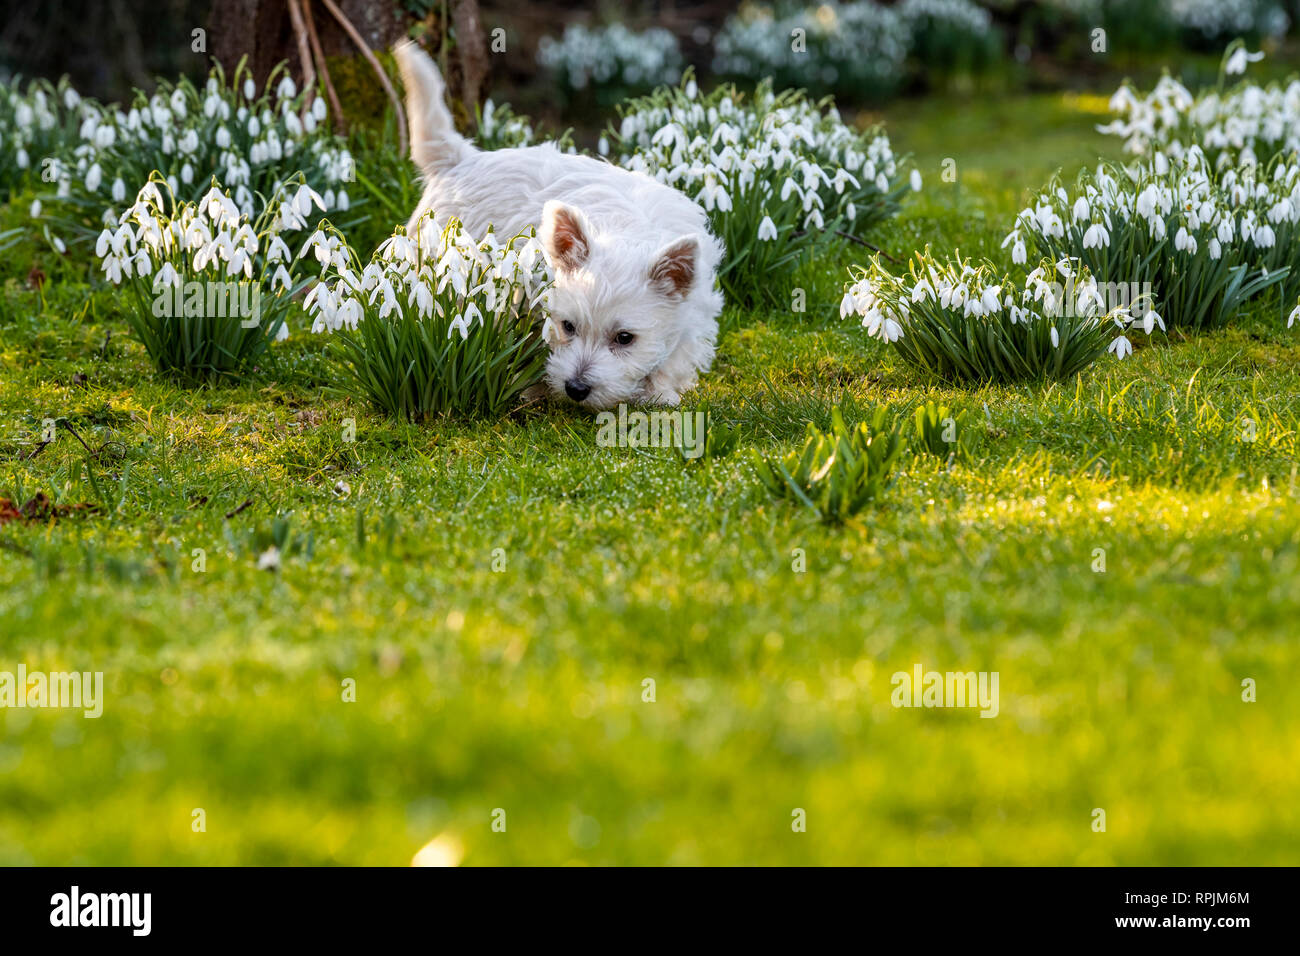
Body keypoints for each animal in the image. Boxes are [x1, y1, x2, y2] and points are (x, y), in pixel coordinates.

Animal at [390, 39, 728, 408]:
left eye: (625, 338)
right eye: (568, 326)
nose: (576, 389)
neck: (628, 232)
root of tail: (461, 160)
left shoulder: (692, 315)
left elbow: (675, 357)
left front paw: (659, 393)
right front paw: (534, 390)